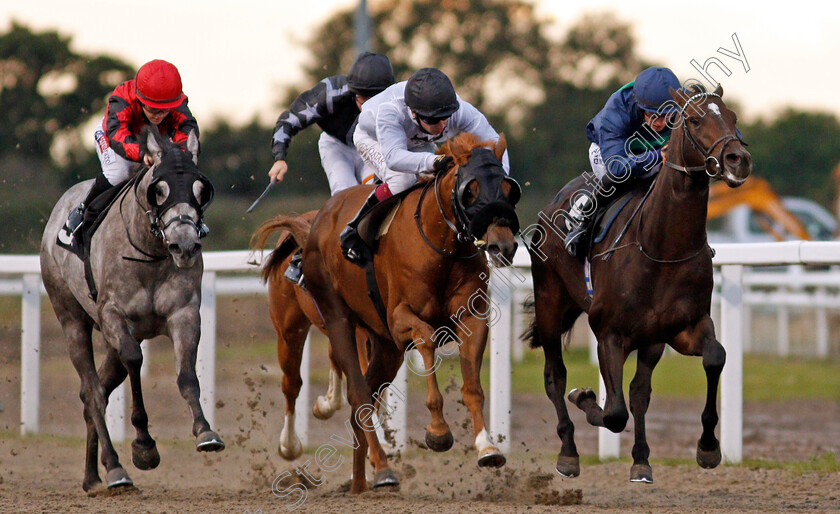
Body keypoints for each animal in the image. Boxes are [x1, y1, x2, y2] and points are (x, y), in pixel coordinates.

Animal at [40, 125, 223, 492]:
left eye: (200, 189)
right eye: (159, 190)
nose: (184, 245)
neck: (150, 251)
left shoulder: (183, 314)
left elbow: (186, 374)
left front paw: (205, 431)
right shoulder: (114, 316)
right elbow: (136, 363)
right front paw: (144, 446)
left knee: (97, 391)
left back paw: (92, 476)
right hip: (71, 319)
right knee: (93, 391)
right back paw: (114, 467)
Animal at [256, 133, 520, 492]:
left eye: (508, 188)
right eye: (471, 190)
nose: (502, 246)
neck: (442, 247)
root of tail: (314, 223)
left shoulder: (472, 316)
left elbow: (473, 386)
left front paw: (487, 446)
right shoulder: (398, 321)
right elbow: (426, 338)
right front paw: (438, 431)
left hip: (385, 348)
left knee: (364, 397)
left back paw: (361, 480)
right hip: (314, 325)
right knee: (324, 388)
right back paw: (317, 451)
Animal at [524, 86, 756, 482]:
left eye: (733, 117)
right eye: (695, 120)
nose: (738, 159)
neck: (662, 247)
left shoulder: (681, 328)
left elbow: (714, 357)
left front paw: (708, 447)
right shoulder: (609, 333)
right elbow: (614, 411)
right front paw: (584, 396)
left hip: (649, 340)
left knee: (639, 392)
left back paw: (641, 459)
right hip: (550, 304)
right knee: (555, 377)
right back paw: (568, 453)